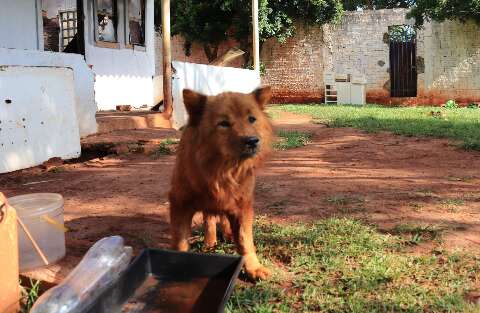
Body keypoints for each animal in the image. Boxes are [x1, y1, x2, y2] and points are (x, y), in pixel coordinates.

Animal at [170, 86, 274, 280]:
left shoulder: (242, 206)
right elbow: (180, 242)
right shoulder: (180, 204)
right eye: (224, 123)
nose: (252, 141)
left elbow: (245, 240)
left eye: (252, 119)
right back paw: (210, 242)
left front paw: (253, 268)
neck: (223, 171)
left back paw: (226, 234)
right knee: (209, 219)